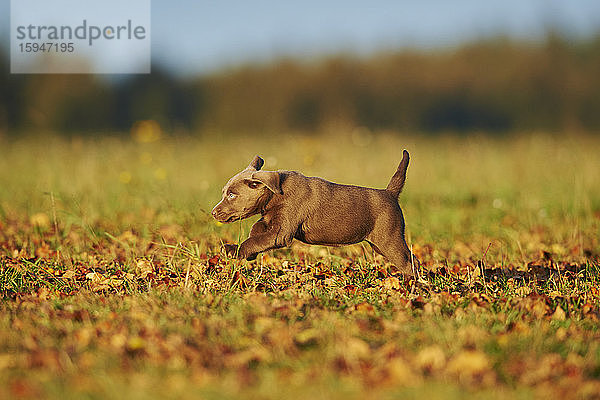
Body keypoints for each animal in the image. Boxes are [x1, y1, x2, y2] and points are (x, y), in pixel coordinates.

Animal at [212, 152, 418, 276]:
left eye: (231, 195)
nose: (213, 213)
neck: (276, 193)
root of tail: (390, 193)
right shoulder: (272, 220)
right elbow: (257, 229)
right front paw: (249, 254)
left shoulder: (281, 233)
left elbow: (255, 240)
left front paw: (235, 250)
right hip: (381, 244)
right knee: (413, 259)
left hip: (389, 239)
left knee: (408, 263)